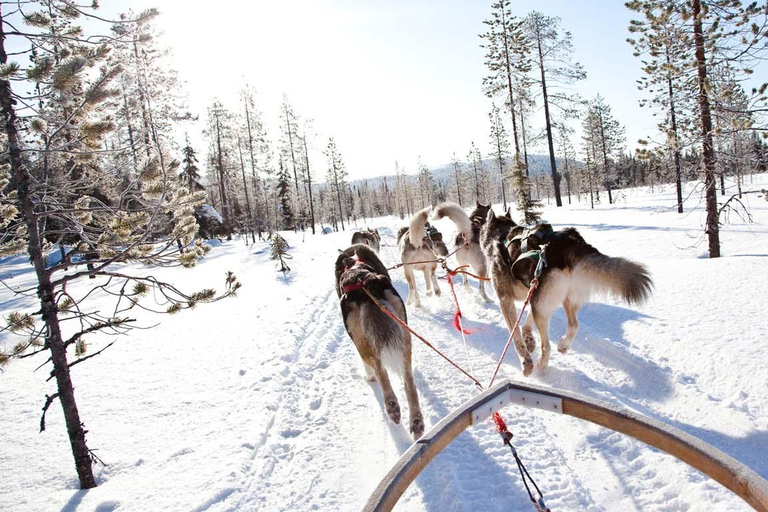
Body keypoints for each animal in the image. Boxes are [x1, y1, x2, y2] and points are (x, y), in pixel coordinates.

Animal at [332, 242, 424, 438]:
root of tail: (364, 282)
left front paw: (369, 378)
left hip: (362, 342)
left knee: (379, 367)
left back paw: (391, 405)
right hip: (404, 332)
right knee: (408, 380)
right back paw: (416, 421)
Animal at [480, 209, 656, 376]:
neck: (501, 236)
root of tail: (570, 243)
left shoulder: (506, 301)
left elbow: (516, 337)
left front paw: (525, 360)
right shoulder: (532, 294)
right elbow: (526, 324)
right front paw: (529, 339)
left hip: (542, 305)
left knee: (547, 346)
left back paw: (540, 364)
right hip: (561, 299)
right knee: (573, 325)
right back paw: (563, 345)